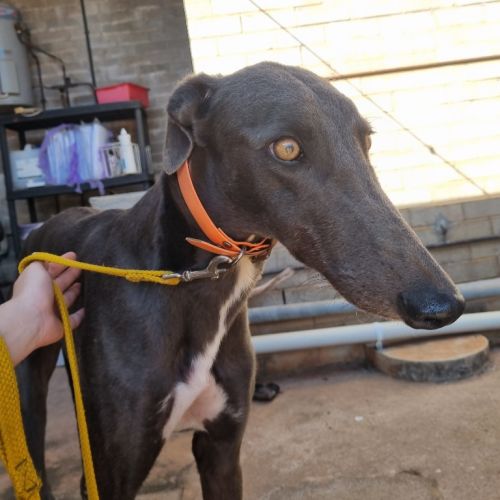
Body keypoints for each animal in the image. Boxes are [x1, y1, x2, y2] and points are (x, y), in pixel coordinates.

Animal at [17, 62, 464, 499]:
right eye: (287, 147)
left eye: (366, 142)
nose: (445, 304)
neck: (197, 285)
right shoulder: (110, 473)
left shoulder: (222, 448)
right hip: (27, 389)